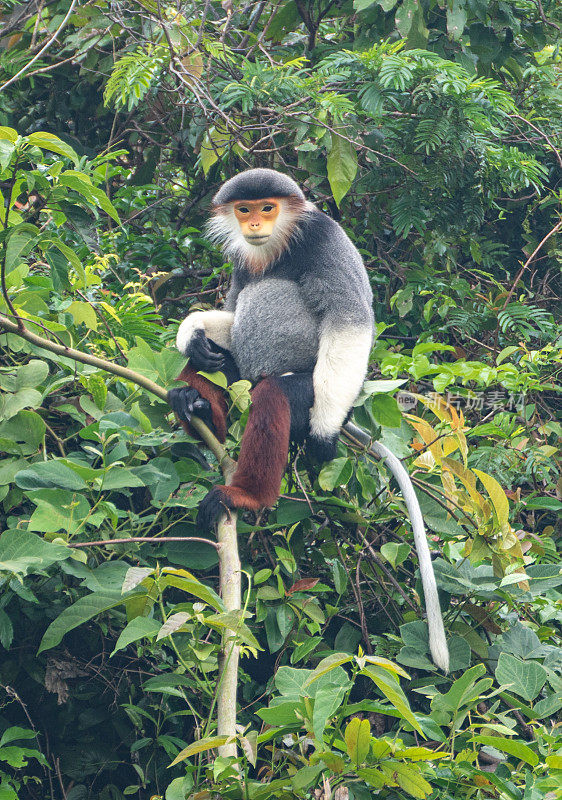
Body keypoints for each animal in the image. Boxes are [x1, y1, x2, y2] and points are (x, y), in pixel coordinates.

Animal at [168, 170, 448, 676]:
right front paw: (191, 333)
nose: (254, 224)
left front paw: (322, 437)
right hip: (239, 375)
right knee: (217, 364)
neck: (279, 246)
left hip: (307, 387)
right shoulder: (243, 262)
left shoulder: (324, 238)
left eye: (268, 208)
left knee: (273, 397)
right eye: (244, 209)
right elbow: (233, 310)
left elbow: (349, 320)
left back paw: (247, 492)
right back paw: (196, 405)